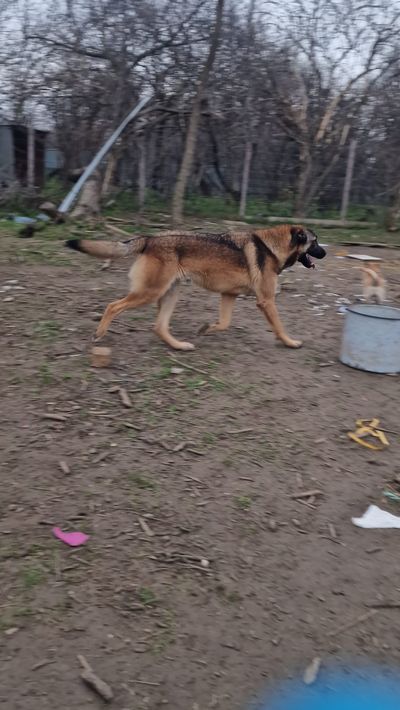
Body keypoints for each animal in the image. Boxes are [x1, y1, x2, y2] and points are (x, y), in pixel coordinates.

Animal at [66, 225, 326, 351]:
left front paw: (205, 329)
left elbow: (223, 323)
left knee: (159, 327)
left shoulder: (228, 295)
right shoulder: (266, 301)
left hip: (169, 293)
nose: (325, 253)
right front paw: (291, 343)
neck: (272, 247)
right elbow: (279, 327)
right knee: (112, 306)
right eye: (315, 242)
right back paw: (99, 334)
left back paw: (180, 346)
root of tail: (150, 238)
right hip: (150, 293)